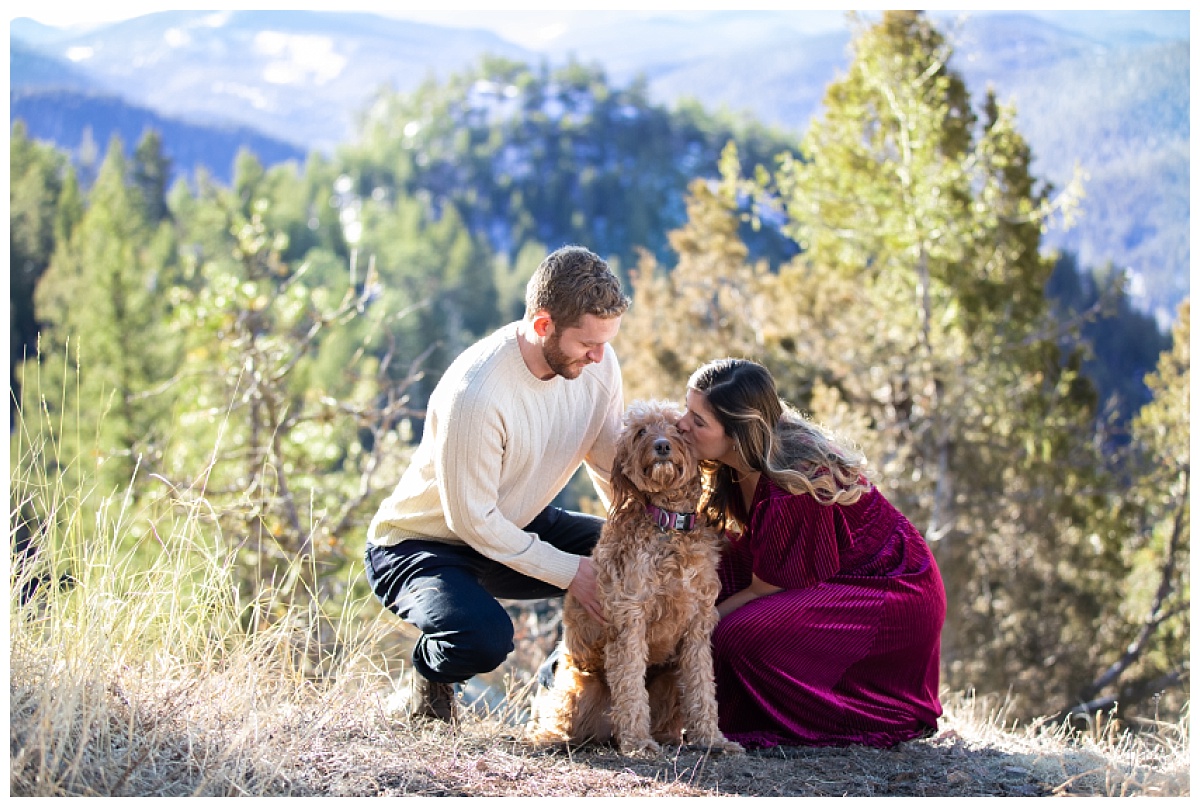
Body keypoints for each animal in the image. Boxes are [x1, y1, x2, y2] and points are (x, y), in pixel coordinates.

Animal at [532, 401, 744, 754]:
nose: (662, 446)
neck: (669, 523)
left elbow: (703, 687)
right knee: (554, 720)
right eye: (641, 431)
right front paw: (639, 744)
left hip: (669, 677)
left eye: (677, 428)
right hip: (577, 688)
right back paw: (554, 738)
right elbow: (631, 685)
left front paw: (712, 739)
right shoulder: (629, 618)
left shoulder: (697, 624)